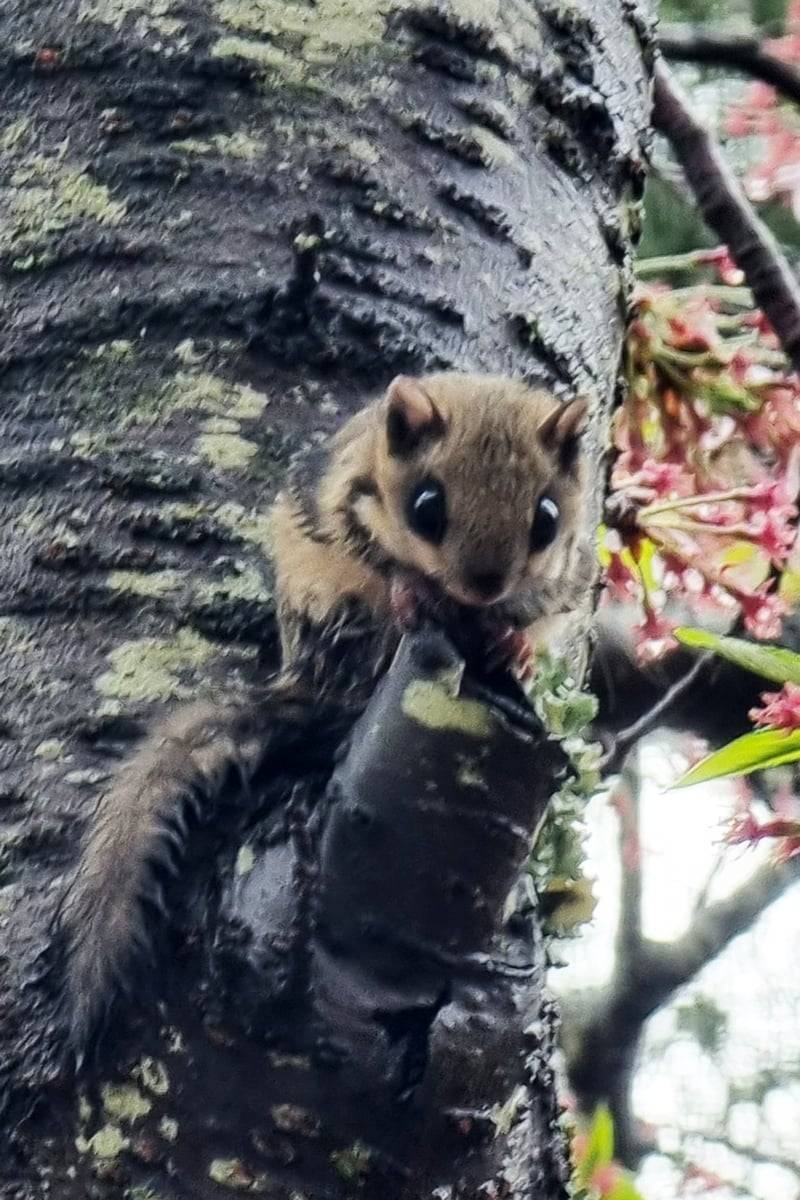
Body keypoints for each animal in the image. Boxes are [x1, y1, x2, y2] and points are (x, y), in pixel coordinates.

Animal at [54, 372, 594, 1060]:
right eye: (427, 507)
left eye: (546, 521)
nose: (484, 585)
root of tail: (311, 682)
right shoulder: (348, 506)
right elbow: (387, 564)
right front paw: (410, 592)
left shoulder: (565, 578)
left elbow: (534, 614)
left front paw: (514, 644)